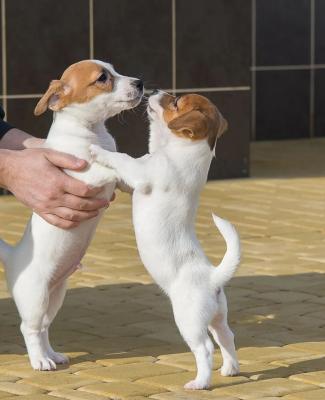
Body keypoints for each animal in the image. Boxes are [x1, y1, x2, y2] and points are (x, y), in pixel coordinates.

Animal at [0, 60, 143, 372]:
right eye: (103, 78)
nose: (140, 82)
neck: (92, 131)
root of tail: (13, 256)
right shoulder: (81, 175)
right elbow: (106, 168)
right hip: (35, 297)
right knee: (29, 328)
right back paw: (40, 360)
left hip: (55, 297)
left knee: (44, 328)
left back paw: (52, 354)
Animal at [90, 91, 239, 390]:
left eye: (176, 103)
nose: (157, 91)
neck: (186, 152)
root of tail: (213, 277)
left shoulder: (142, 173)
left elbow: (122, 158)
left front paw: (98, 152)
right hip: (217, 316)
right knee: (226, 336)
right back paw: (230, 368)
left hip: (189, 320)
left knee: (206, 348)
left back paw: (200, 382)